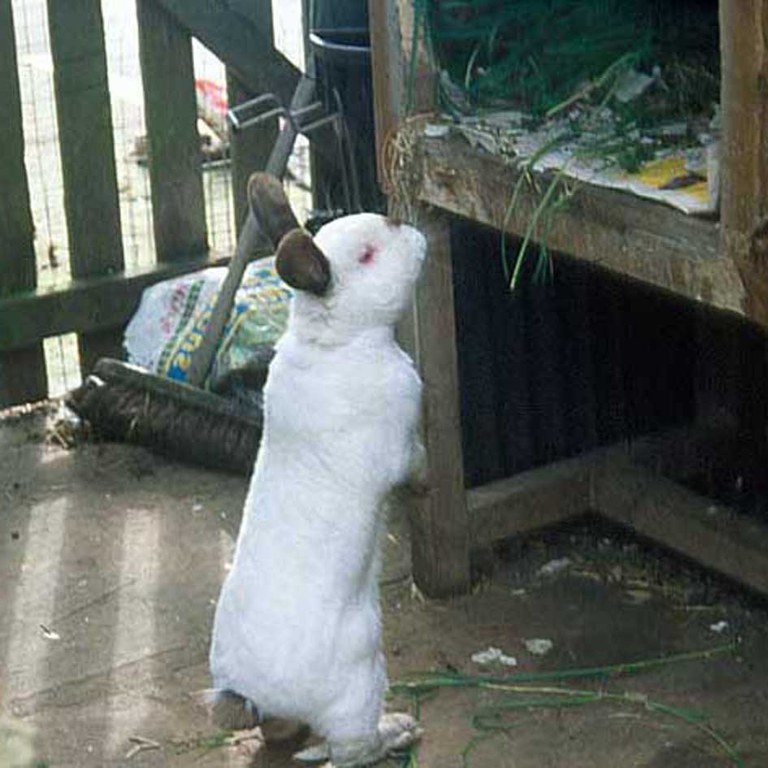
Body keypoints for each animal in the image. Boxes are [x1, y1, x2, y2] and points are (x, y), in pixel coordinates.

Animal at [210, 200, 426, 768]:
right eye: (368, 256)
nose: (411, 231)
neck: (335, 344)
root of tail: (249, 694)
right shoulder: (397, 442)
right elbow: (414, 461)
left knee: (282, 732)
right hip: (362, 680)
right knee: (352, 749)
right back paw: (398, 731)